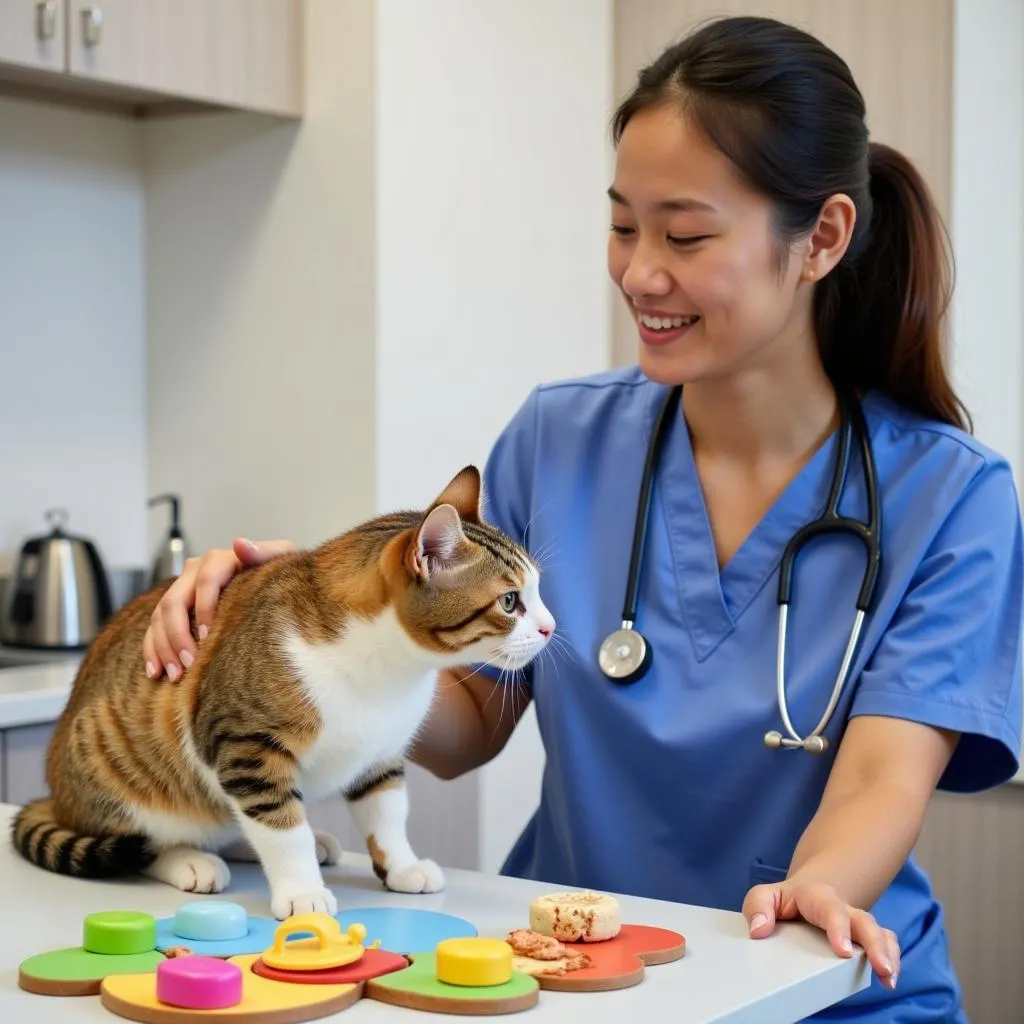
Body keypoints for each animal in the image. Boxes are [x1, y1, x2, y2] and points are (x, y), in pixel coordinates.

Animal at [9, 468, 552, 925]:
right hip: (113, 759)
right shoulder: (245, 745)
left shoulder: (382, 751)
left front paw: (402, 865)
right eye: (510, 602)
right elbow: (281, 826)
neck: (389, 672)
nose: (550, 627)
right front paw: (302, 892)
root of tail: (58, 799)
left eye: (538, 591)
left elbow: (387, 812)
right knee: (146, 837)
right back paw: (190, 860)